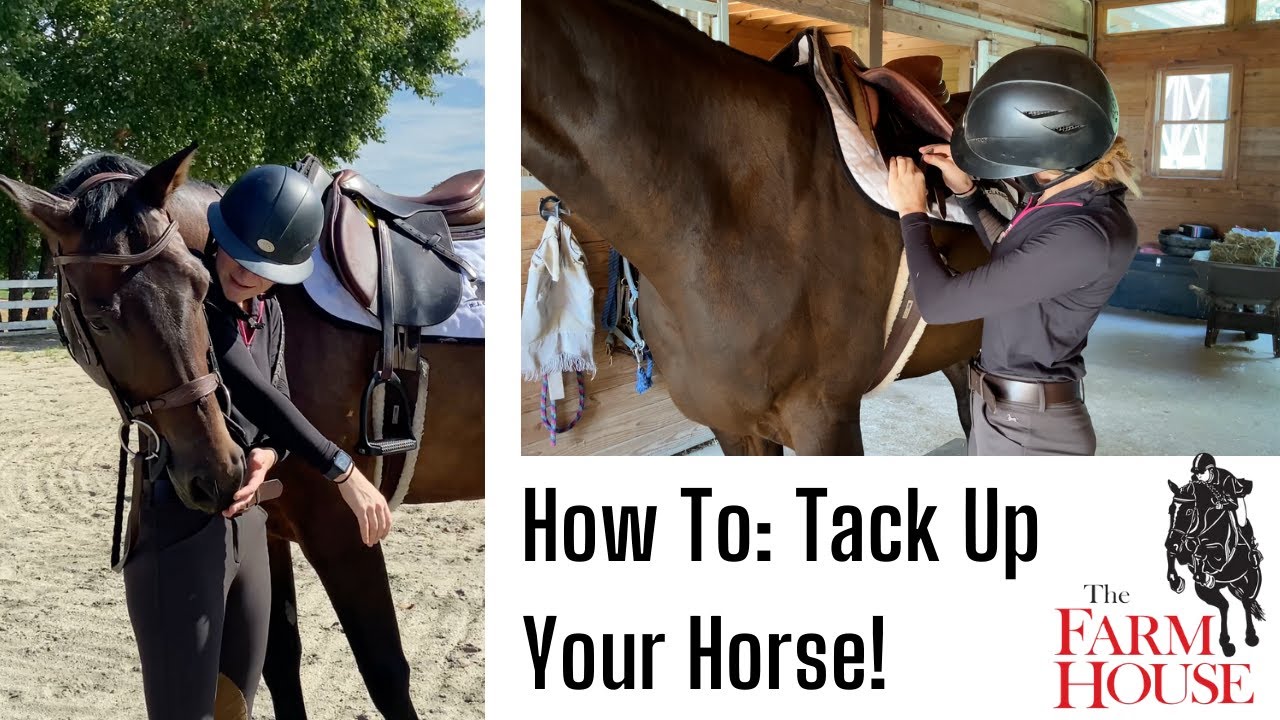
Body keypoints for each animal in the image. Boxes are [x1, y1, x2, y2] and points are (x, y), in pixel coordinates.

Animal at [1165, 479, 1264, 657]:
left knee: (1246, 601)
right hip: (1207, 591)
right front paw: (1176, 582)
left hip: (1253, 577)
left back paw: (1251, 637)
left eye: (1188, 511)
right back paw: (1226, 643)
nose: (1170, 542)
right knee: (1224, 606)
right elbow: (1175, 554)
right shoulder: (1183, 550)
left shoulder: (1221, 554)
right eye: (1171, 510)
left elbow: (1205, 552)